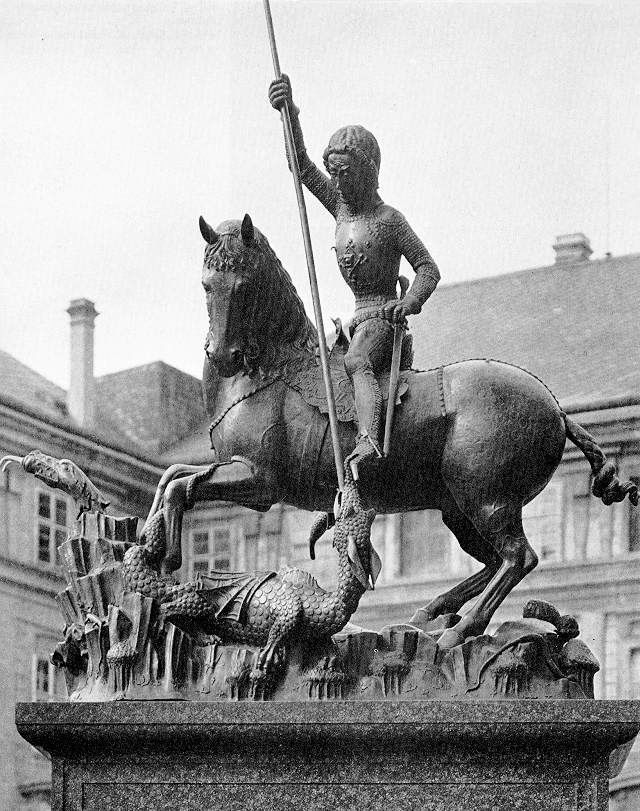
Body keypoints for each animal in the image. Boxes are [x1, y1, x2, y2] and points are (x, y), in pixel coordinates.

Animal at [148, 213, 636, 652]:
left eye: (245, 285)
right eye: (207, 283)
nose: (223, 355)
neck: (270, 373)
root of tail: (555, 407)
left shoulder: (260, 481)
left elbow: (180, 486)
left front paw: (167, 556)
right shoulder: (236, 473)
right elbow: (171, 476)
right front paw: (152, 538)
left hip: (486, 499)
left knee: (519, 558)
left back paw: (460, 629)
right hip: (458, 509)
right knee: (495, 561)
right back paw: (430, 613)